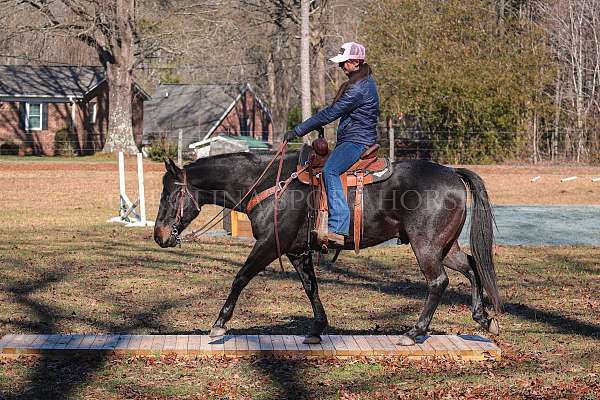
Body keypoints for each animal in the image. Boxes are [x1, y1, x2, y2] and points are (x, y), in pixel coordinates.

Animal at [154, 152, 502, 346]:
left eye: (169, 194)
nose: (159, 235)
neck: (270, 185)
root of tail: (452, 172)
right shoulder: (297, 251)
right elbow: (311, 288)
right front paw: (317, 329)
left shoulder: (268, 245)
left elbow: (240, 277)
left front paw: (219, 324)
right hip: (445, 246)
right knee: (471, 266)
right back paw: (483, 318)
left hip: (426, 246)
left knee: (437, 282)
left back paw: (414, 332)